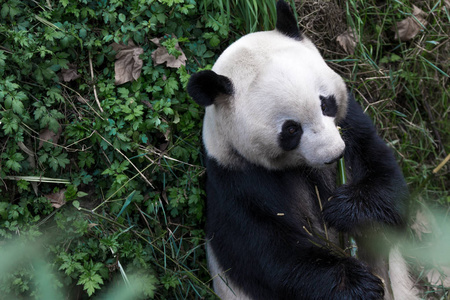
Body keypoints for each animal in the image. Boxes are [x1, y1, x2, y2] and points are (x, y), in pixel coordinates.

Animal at [186, 1, 418, 298]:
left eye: (325, 103)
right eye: (291, 130)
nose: (334, 155)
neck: (303, 167)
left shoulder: (352, 128)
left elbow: (388, 184)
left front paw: (344, 209)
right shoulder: (236, 180)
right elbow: (272, 255)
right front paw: (357, 285)